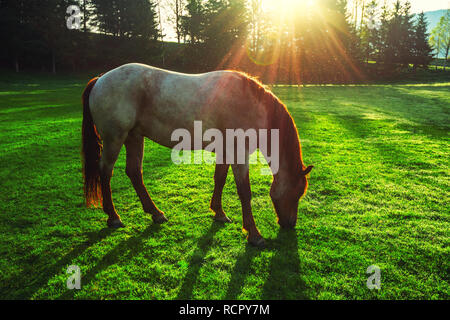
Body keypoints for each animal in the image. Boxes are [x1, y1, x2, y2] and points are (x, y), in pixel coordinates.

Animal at [81, 63, 312, 248]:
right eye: (297, 192)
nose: (290, 224)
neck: (250, 104)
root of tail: (100, 79)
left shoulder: (226, 152)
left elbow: (219, 179)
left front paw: (219, 213)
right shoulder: (239, 154)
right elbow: (245, 193)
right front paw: (254, 235)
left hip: (134, 137)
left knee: (134, 172)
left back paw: (156, 213)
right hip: (115, 138)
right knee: (106, 172)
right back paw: (113, 217)